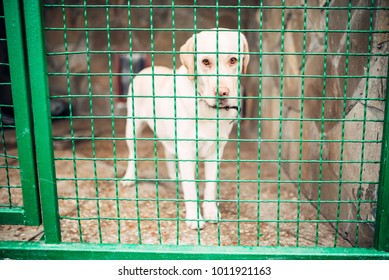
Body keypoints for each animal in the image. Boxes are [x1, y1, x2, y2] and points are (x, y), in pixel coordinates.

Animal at [123, 29, 249, 230]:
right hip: (133, 127)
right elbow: (191, 188)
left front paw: (211, 211)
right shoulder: (187, 150)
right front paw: (195, 217)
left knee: (168, 152)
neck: (207, 108)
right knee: (132, 154)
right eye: (205, 61)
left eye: (233, 60)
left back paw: (175, 176)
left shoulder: (216, 151)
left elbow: (211, 185)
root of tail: (147, 70)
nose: (222, 93)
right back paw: (129, 178)